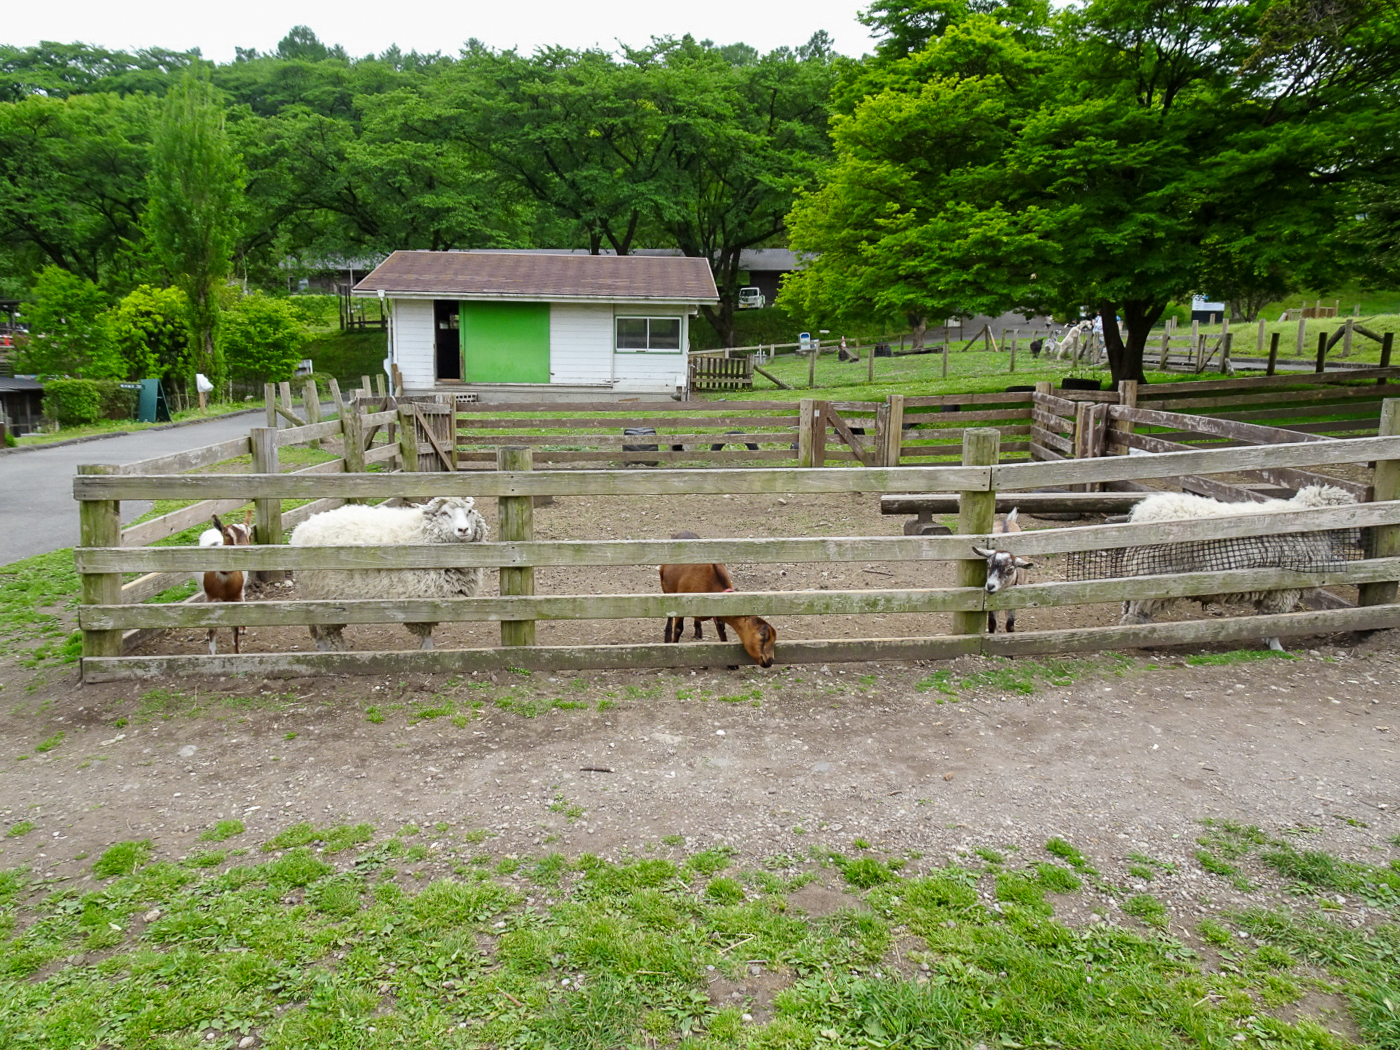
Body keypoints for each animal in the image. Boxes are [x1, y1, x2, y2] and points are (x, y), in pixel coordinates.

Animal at [197, 512, 252, 658]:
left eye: (250, 533)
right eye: (227, 534)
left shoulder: (235, 597)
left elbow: (235, 626)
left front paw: (236, 652)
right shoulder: (211, 598)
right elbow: (213, 628)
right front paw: (212, 654)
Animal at [287, 498, 490, 655]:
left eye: (469, 511)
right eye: (444, 513)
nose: (463, 530)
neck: (421, 532)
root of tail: (300, 529)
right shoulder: (421, 601)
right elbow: (425, 635)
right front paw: (428, 653)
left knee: (315, 628)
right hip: (323, 596)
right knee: (327, 632)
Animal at [658, 529, 778, 669]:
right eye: (762, 635)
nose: (770, 660)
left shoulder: (719, 609)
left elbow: (722, 630)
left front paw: (731, 664)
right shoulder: (681, 603)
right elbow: (678, 629)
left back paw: (698, 631)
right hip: (667, 589)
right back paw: (667, 637)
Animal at [1114, 484, 1355, 649]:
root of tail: (1141, 512)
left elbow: (1265, 617)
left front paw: (1267, 641)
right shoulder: (1284, 588)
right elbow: (1274, 620)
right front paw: (1276, 647)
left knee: (1130, 607)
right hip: (1153, 575)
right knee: (1138, 611)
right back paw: (1140, 638)